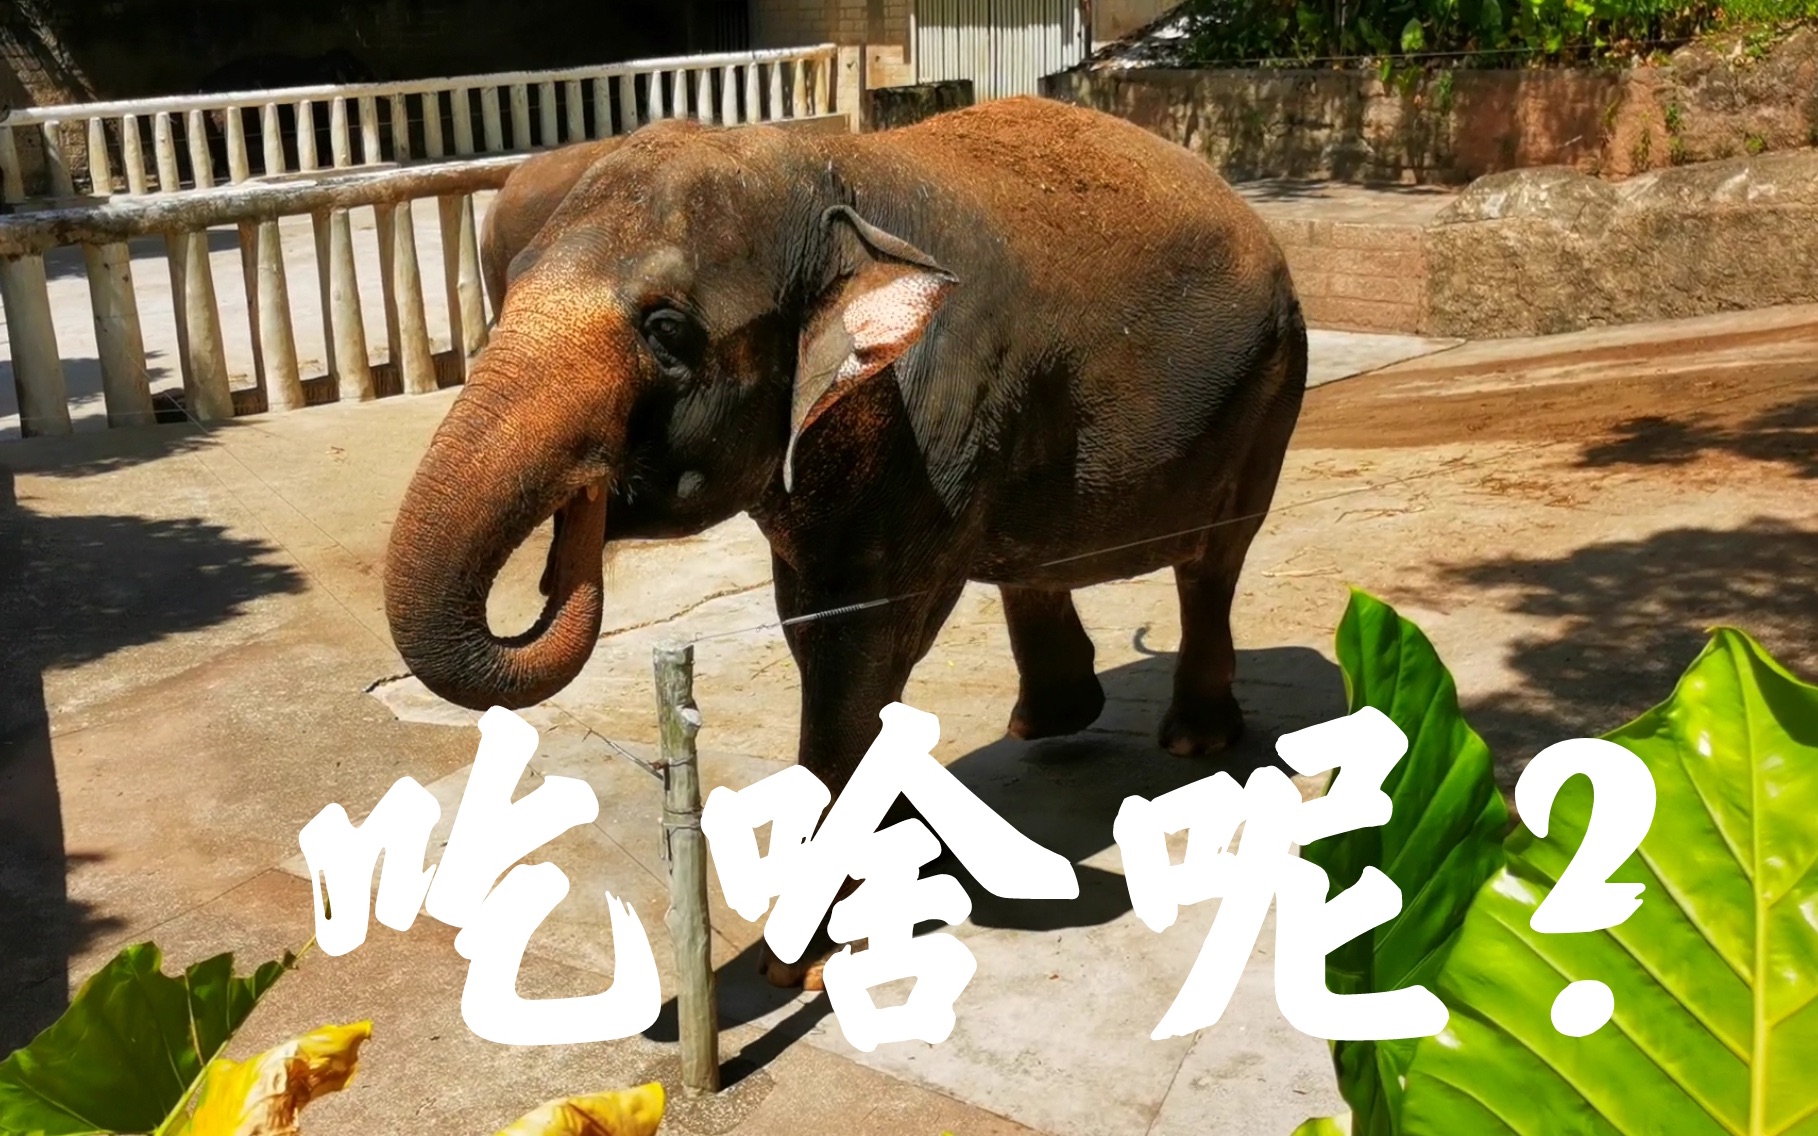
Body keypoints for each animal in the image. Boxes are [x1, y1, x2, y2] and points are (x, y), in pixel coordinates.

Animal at [383, 96, 1308, 986]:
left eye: (668, 333)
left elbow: (858, 643)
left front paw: (796, 962)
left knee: (1213, 562)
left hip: (1270, 390)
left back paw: (1192, 741)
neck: (825, 176)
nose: (584, 513)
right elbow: (812, 626)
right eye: (507, 289)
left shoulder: (932, 416)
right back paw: (1046, 724)